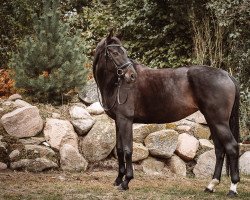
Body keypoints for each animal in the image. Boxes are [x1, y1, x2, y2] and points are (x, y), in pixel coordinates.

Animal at [92, 32, 240, 197]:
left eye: (124, 52)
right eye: (115, 52)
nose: (131, 76)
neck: (116, 85)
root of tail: (226, 75)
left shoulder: (126, 120)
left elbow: (128, 150)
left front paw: (126, 182)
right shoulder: (118, 121)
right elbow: (119, 149)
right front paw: (118, 179)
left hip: (219, 121)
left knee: (232, 147)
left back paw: (232, 188)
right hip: (212, 120)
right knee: (219, 150)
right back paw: (211, 185)